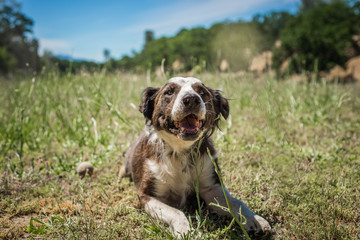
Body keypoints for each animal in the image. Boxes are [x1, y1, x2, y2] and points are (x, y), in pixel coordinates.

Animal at [119, 76, 272, 236]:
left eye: (202, 92)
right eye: (169, 92)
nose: (191, 99)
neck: (180, 152)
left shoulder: (211, 187)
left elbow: (236, 202)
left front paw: (253, 219)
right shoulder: (147, 196)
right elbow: (177, 213)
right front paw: (186, 232)